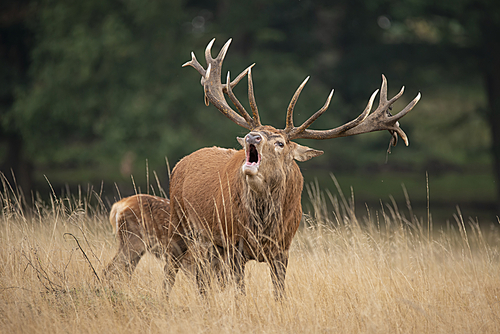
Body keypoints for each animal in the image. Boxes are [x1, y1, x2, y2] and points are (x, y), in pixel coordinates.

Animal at [166, 37, 420, 298]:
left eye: (280, 142)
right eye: (256, 133)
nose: (252, 136)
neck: (264, 226)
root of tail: (180, 163)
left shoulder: (283, 248)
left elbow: (279, 293)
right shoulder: (233, 243)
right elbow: (240, 293)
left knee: (202, 280)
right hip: (179, 223)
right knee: (173, 269)